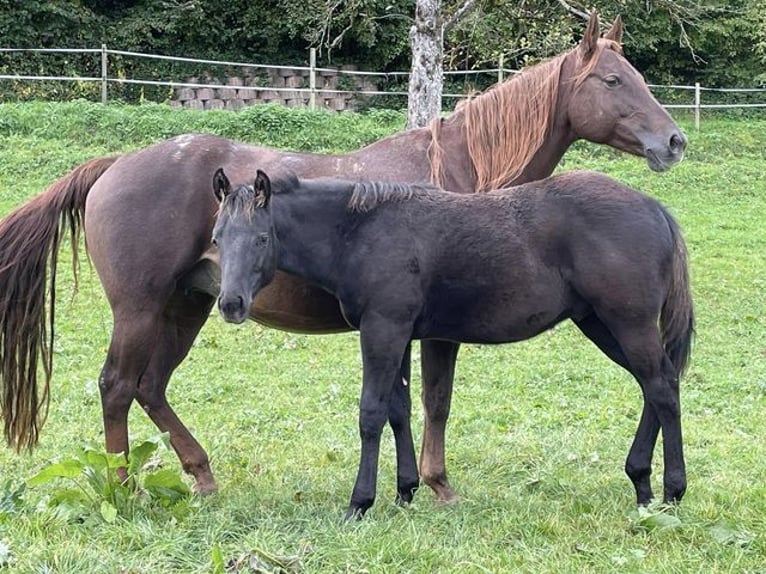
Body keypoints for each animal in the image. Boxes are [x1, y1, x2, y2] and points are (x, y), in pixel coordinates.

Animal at [0, 12, 684, 508]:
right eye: (613, 81)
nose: (673, 142)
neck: (458, 170)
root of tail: (112, 165)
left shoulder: (405, 326)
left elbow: (408, 404)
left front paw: (413, 488)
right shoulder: (433, 331)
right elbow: (433, 401)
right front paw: (435, 487)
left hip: (187, 307)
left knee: (150, 386)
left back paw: (202, 474)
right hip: (140, 309)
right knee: (117, 387)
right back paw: (122, 489)